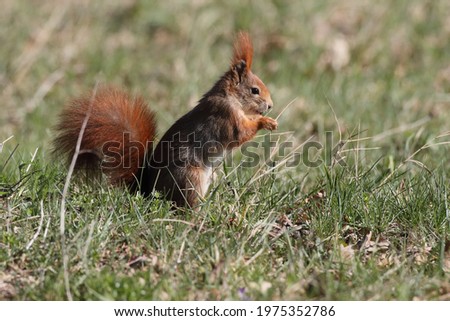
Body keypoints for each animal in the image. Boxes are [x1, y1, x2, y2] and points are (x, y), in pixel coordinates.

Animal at [53, 32, 278, 208]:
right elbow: (240, 133)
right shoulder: (225, 116)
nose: (270, 105)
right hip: (190, 178)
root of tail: (148, 190)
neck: (229, 97)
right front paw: (265, 122)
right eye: (255, 90)